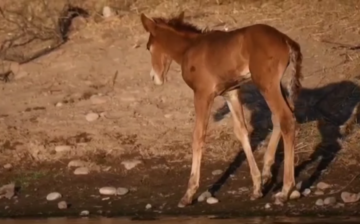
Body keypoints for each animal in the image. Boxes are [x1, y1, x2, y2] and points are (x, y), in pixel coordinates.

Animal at [139, 11, 302, 207]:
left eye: (148, 47)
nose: (154, 77)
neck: (190, 48)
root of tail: (285, 40)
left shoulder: (203, 94)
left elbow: (198, 136)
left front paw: (189, 193)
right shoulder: (230, 93)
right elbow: (242, 132)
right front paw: (256, 187)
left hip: (266, 84)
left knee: (286, 119)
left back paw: (285, 190)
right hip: (274, 85)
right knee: (280, 116)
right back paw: (267, 173)